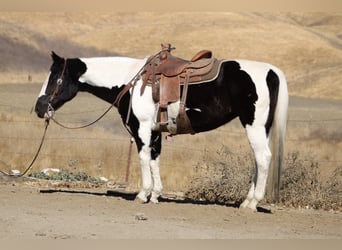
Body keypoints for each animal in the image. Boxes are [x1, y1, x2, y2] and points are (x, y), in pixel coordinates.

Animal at [34, 49, 288, 211]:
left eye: (55, 78)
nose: (39, 108)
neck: (131, 80)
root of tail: (272, 71)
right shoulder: (156, 131)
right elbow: (155, 159)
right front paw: (155, 194)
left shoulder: (142, 128)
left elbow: (144, 158)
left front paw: (142, 194)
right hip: (262, 128)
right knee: (257, 161)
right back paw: (246, 201)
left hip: (254, 125)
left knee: (263, 158)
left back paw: (253, 203)